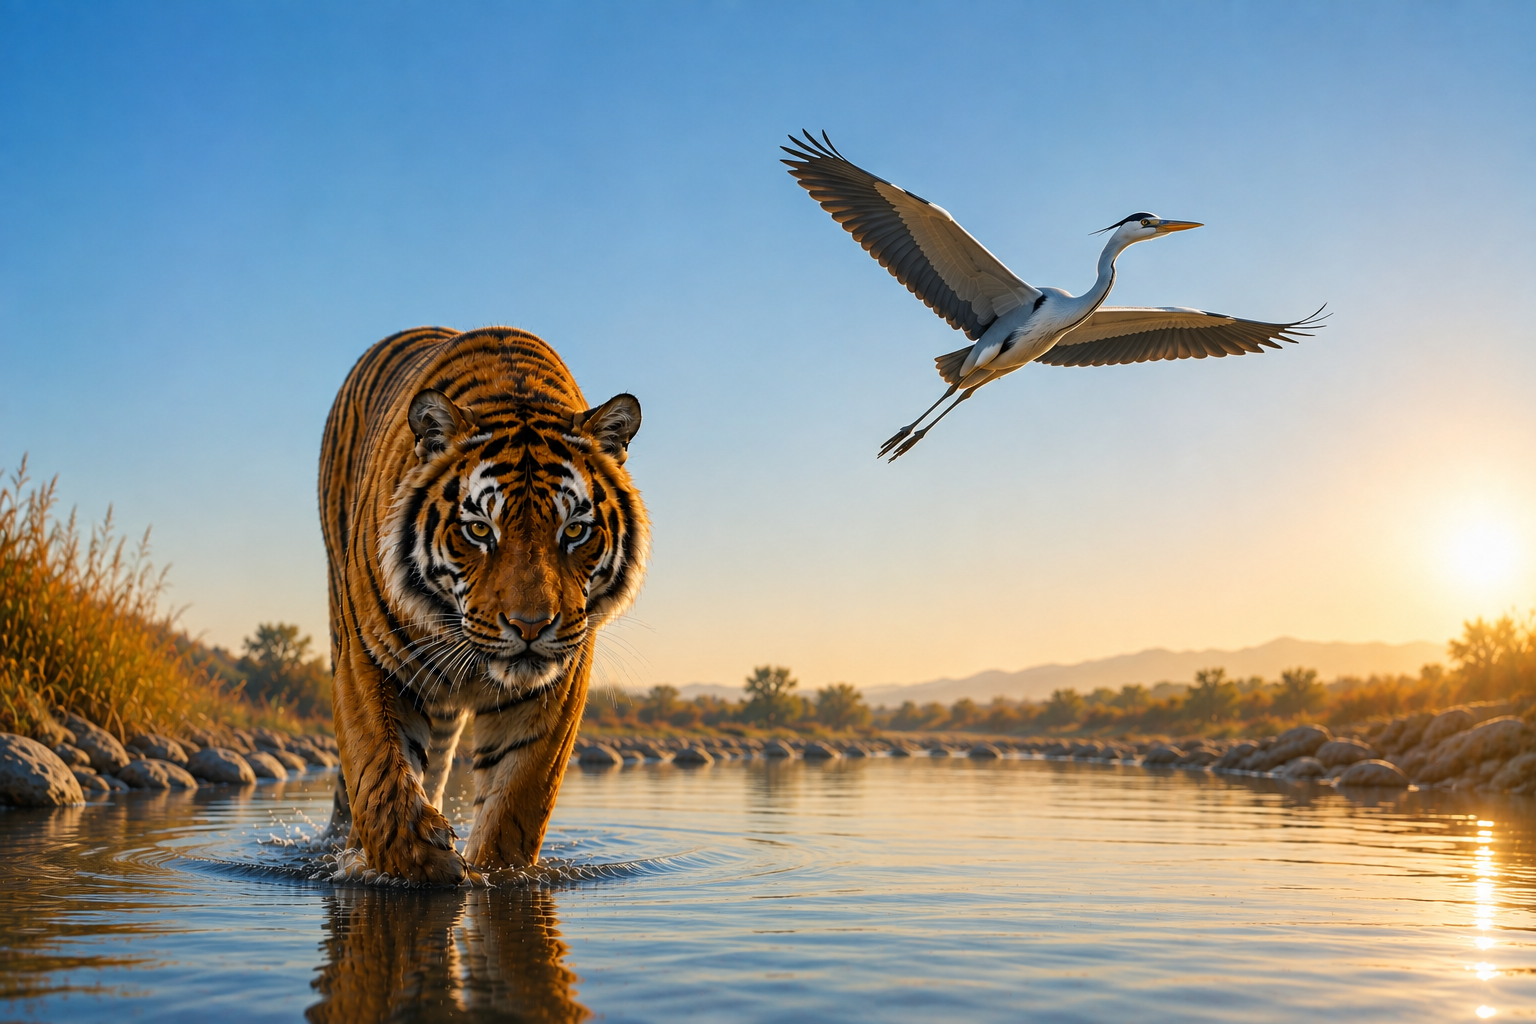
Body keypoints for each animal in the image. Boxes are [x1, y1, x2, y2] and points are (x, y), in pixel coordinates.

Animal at [318, 325, 648, 884]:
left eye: (574, 531)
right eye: (478, 530)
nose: (530, 626)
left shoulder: (557, 685)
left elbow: (517, 799)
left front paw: (490, 871)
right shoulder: (367, 659)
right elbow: (379, 773)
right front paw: (422, 861)